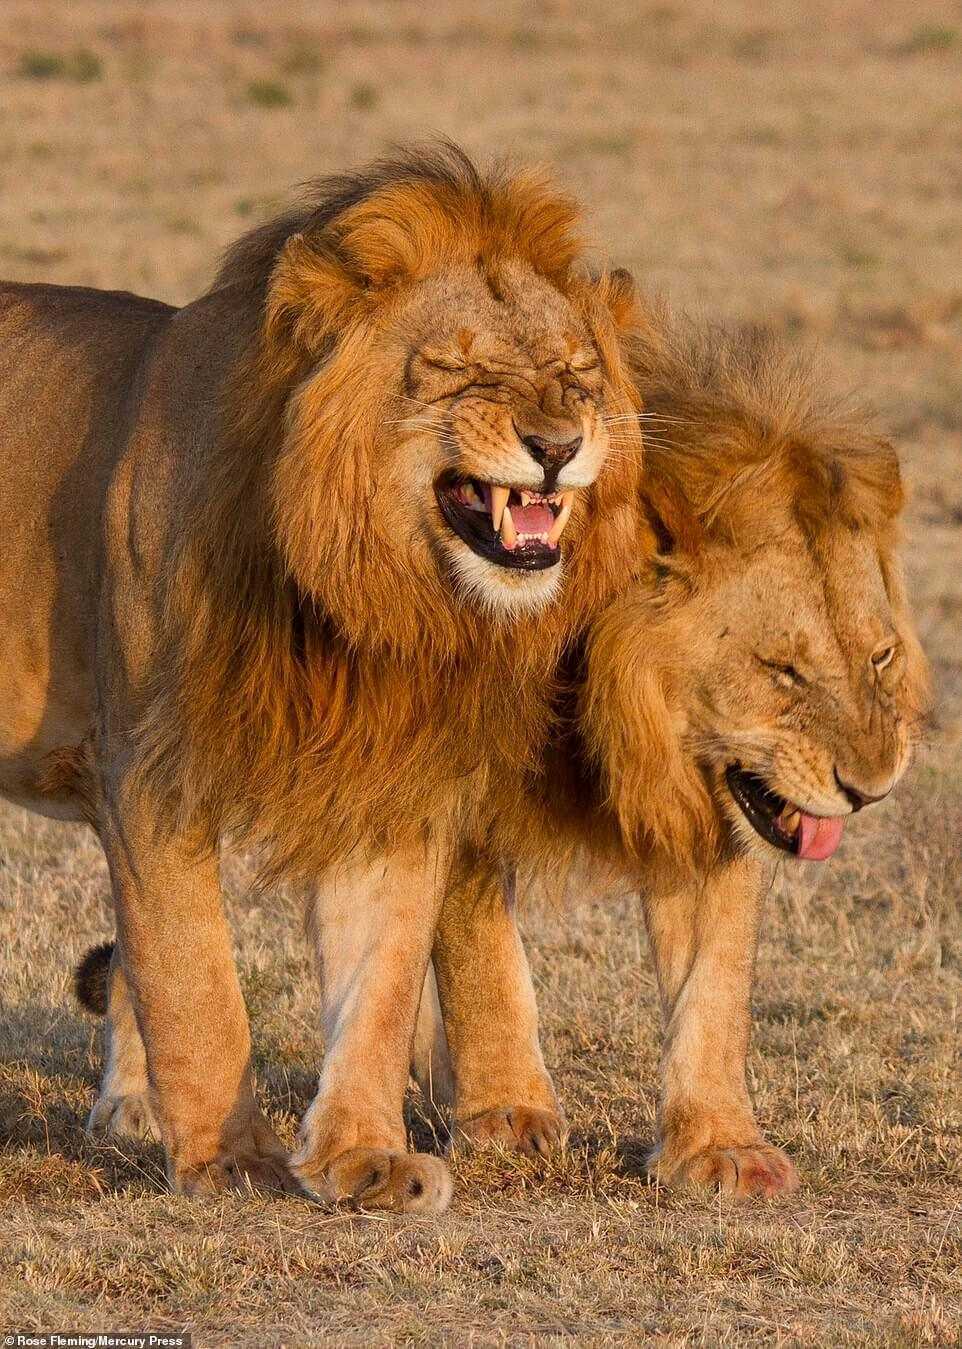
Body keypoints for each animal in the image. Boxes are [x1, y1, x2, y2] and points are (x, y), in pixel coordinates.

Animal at [3, 139, 644, 1214]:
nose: (557, 448)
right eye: (458, 370)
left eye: (576, 374)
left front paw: (363, 1158)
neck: (367, 599)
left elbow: (376, 987)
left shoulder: (385, 782)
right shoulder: (147, 772)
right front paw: (229, 1161)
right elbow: (196, 979)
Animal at [404, 310, 928, 1197]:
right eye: (782, 669)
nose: (872, 788)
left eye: (881, 656)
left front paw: (720, 1145)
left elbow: (715, 980)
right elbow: (479, 951)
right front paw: (504, 1112)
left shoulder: (718, 800)